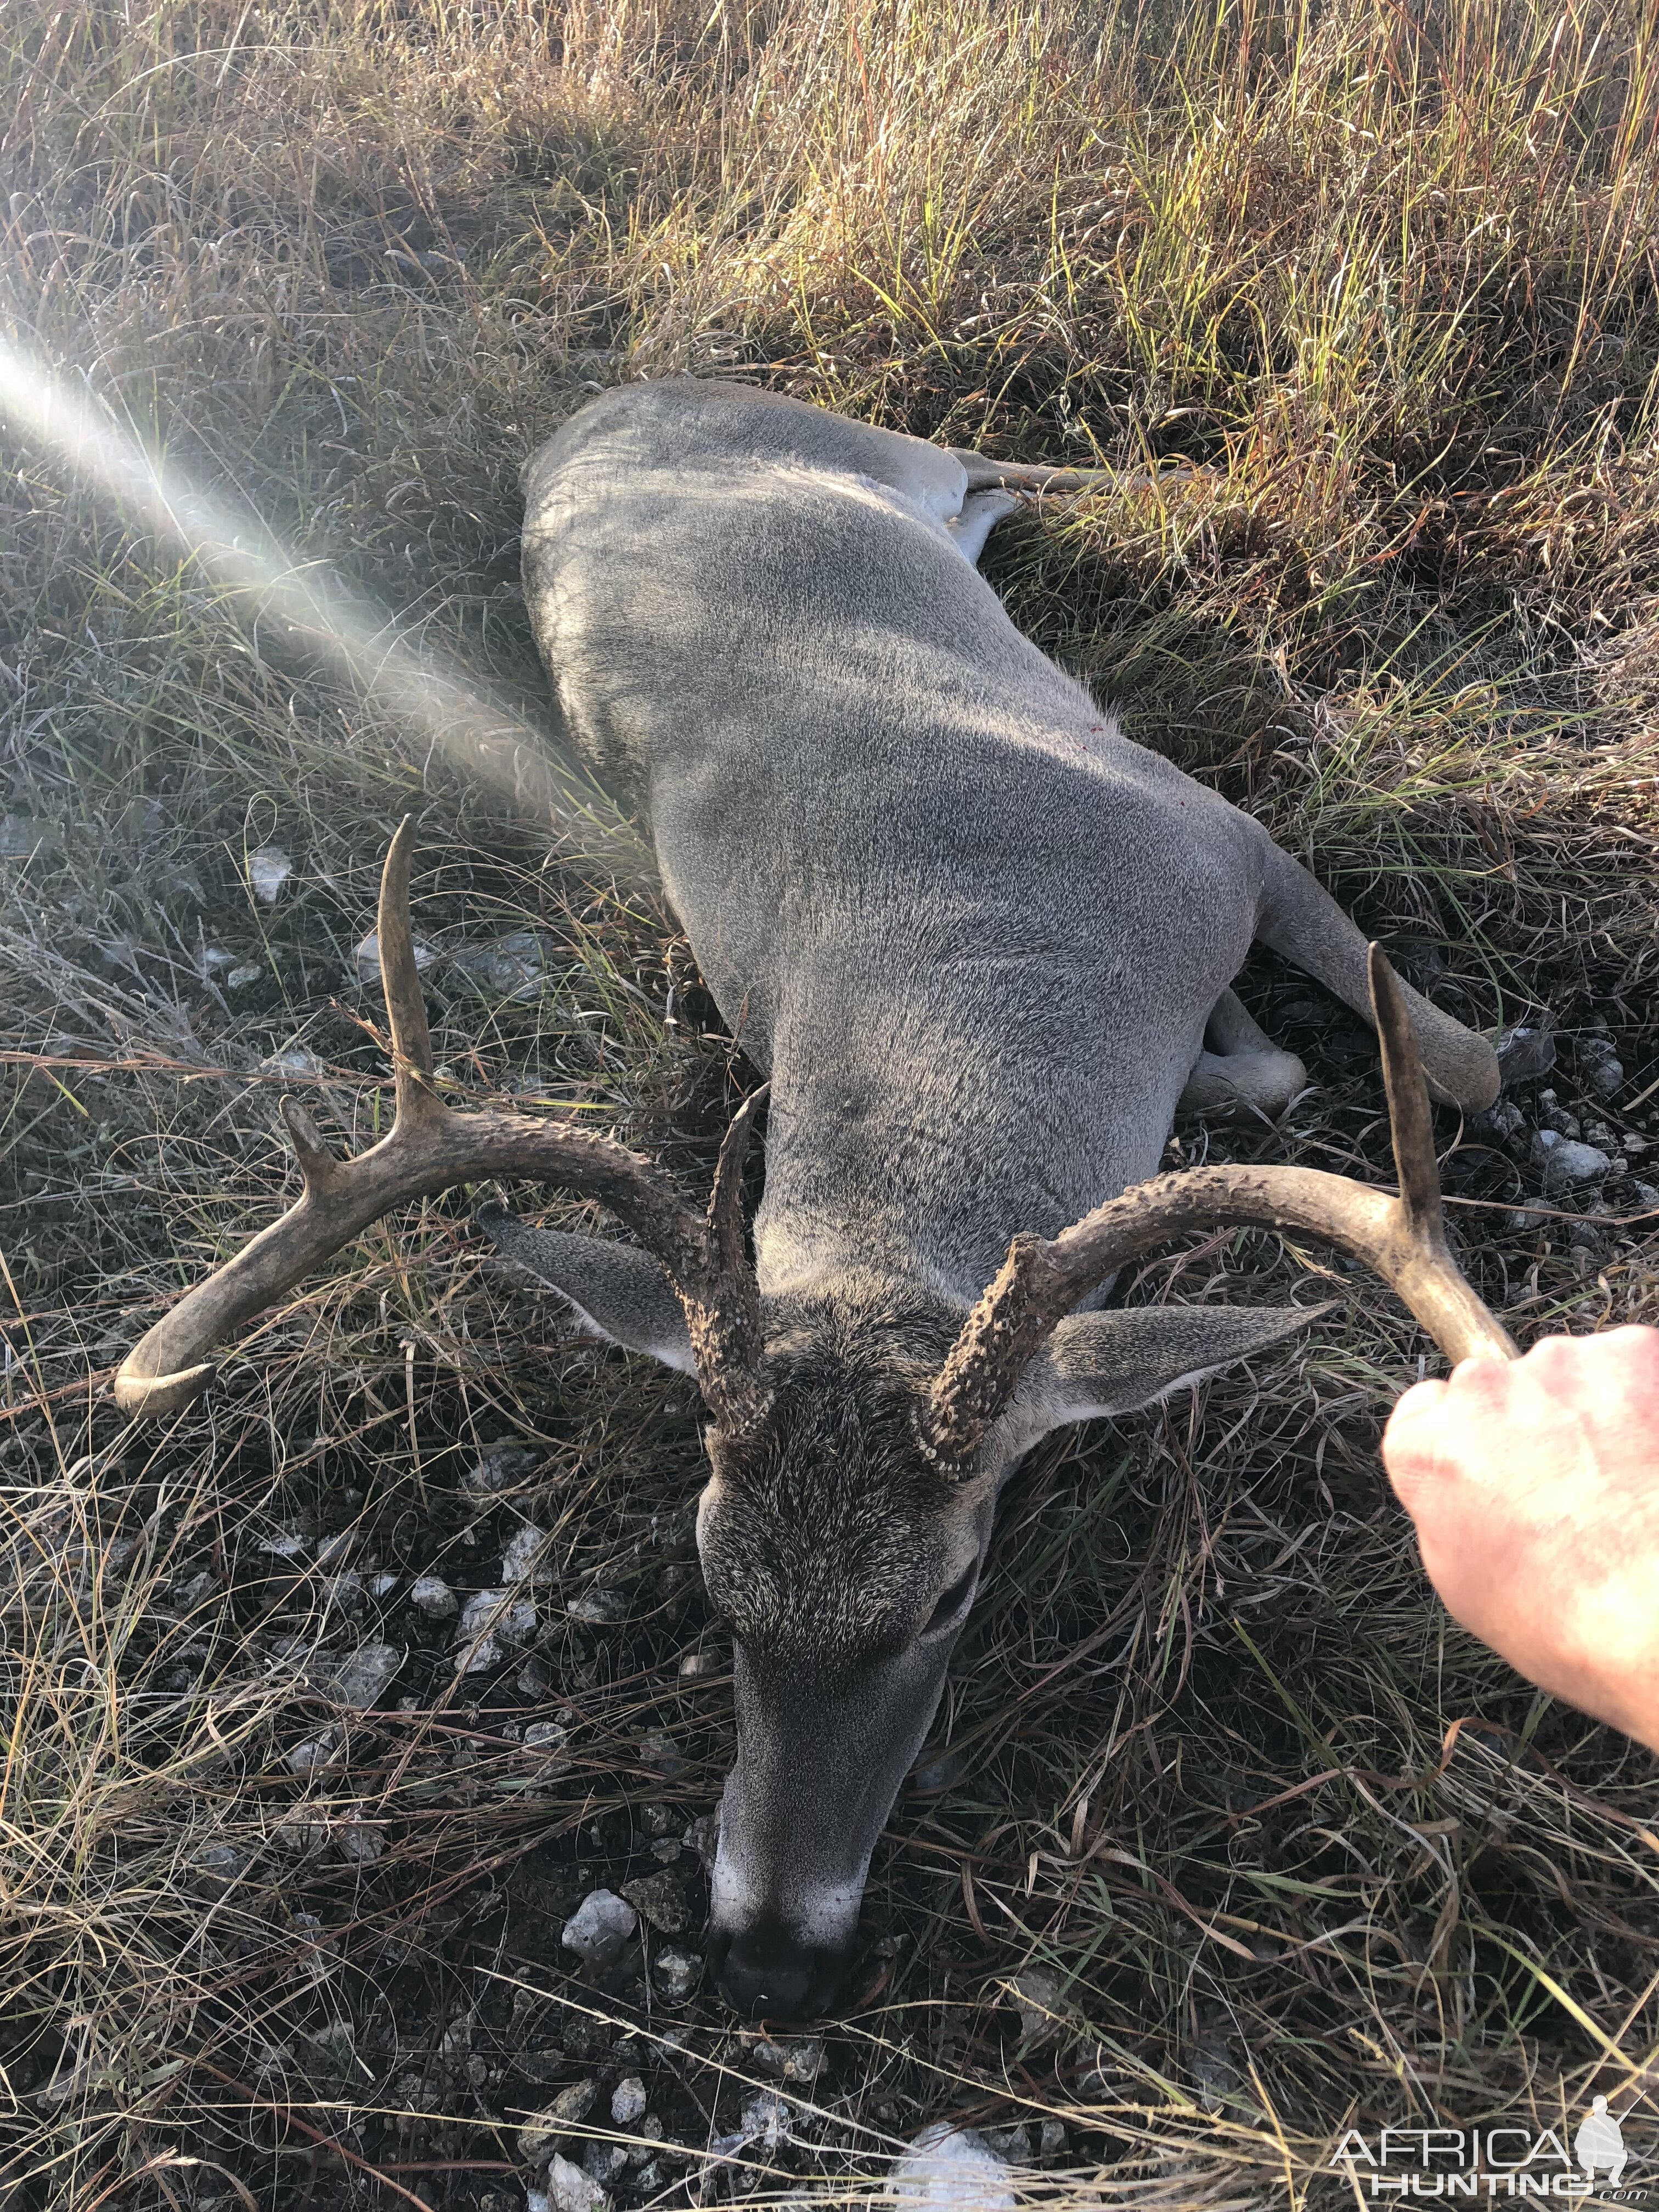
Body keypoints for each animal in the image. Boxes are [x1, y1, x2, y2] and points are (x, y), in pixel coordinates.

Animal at [120, 380, 1522, 2026]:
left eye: (951, 1596)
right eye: (715, 1586)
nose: (773, 1959)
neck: (986, 976)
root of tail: (597, 411)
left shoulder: (1214, 830)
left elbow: (1463, 1064)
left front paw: (1312, 1042)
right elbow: (1291, 1077)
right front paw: (1246, 1051)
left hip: (868, 448)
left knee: (989, 459)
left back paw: (1165, 484)